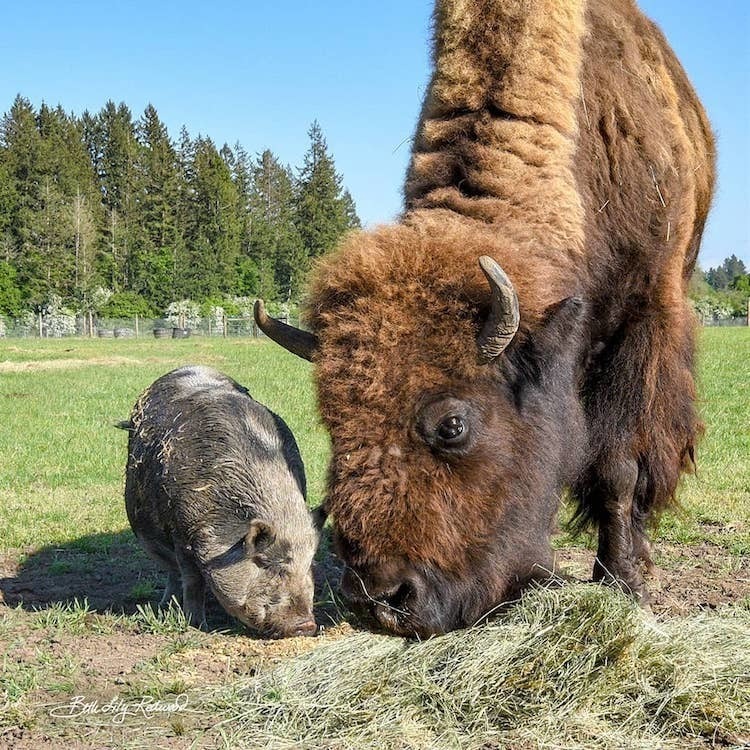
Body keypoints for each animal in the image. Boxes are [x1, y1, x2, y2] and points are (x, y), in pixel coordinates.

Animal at [121, 368, 320, 636]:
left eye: (310, 564)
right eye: (267, 563)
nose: (307, 625)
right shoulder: (181, 532)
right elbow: (193, 581)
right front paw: (197, 625)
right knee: (172, 573)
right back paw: (165, 607)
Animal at [258, 0, 716, 640]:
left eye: (453, 425)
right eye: (332, 422)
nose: (381, 600)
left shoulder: (643, 320)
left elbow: (620, 469)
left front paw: (624, 585)